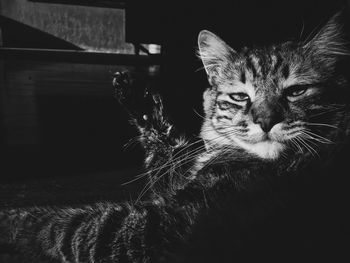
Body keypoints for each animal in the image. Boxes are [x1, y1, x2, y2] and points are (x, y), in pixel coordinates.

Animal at [0, 10, 350, 263]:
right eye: (240, 97)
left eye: (296, 91)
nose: (265, 121)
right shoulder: (175, 178)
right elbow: (163, 147)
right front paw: (136, 94)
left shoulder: (149, 230)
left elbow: (58, 225)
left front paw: (9, 220)